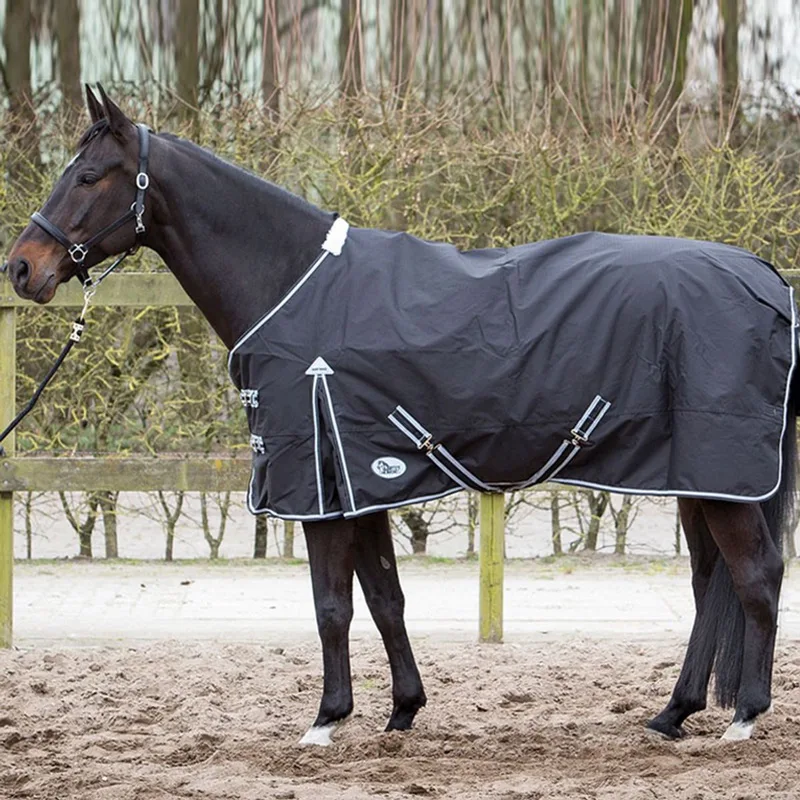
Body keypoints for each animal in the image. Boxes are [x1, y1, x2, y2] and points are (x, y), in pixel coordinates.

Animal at [5, 85, 797, 745]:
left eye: (87, 176)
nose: (22, 267)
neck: (293, 285)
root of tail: (764, 277)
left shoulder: (320, 490)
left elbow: (331, 605)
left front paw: (327, 719)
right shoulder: (362, 483)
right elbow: (385, 598)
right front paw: (402, 711)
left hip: (722, 476)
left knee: (756, 575)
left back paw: (745, 718)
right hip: (697, 478)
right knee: (709, 584)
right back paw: (673, 714)